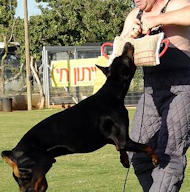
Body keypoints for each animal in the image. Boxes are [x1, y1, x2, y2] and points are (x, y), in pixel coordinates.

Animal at [1, 42, 159, 191]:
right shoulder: (124, 140)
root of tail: (12, 153)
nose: (128, 43)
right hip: (39, 169)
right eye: (125, 57)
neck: (112, 93)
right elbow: (147, 147)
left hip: (31, 178)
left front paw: (124, 160)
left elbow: (121, 149)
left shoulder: (118, 141)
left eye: (120, 56)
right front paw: (156, 159)